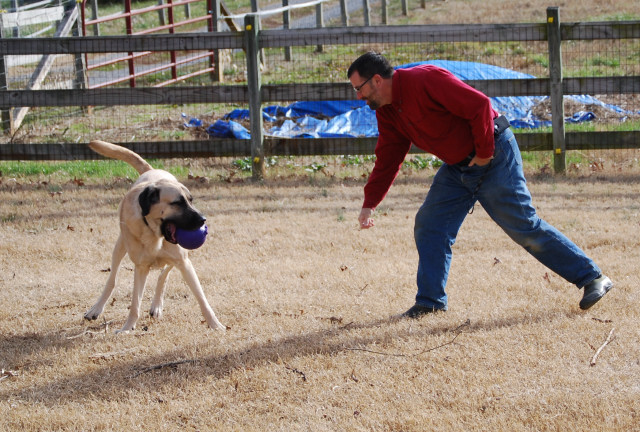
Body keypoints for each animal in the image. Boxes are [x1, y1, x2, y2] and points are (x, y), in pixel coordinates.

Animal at [84, 140, 226, 332]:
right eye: (177, 203)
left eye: (191, 200)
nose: (203, 220)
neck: (153, 233)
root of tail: (152, 170)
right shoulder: (140, 267)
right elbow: (135, 304)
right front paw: (127, 328)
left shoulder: (184, 262)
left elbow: (202, 299)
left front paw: (215, 325)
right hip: (119, 246)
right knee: (112, 279)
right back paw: (96, 309)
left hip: (179, 257)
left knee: (163, 275)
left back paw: (157, 305)